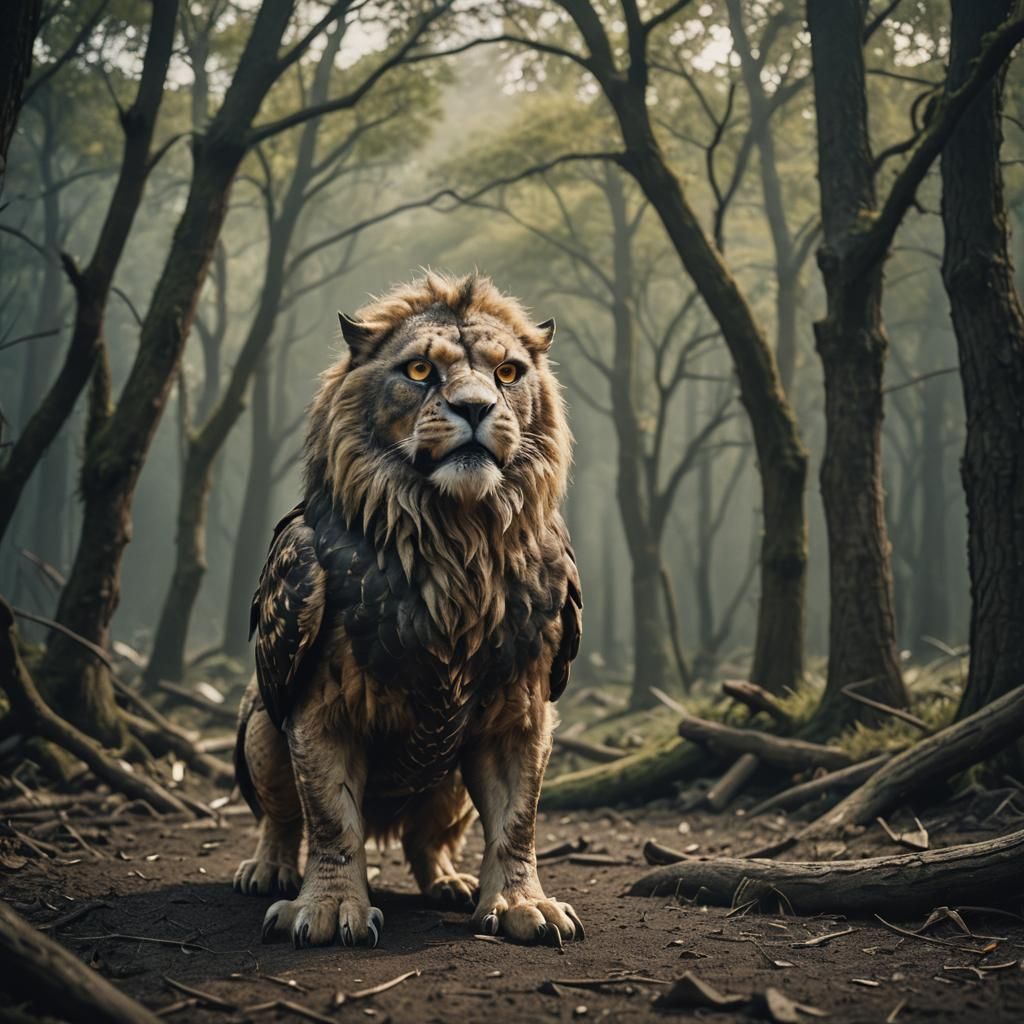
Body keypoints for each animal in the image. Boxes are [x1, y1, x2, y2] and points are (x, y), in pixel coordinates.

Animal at [232, 271, 583, 949]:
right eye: (420, 370)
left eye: (507, 372)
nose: (474, 408)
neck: (458, 537)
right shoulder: (317, 714)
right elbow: (331, 820)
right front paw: (329, 908)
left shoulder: (523, 711)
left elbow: (518, 821)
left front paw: (525, 905)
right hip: (261, 724)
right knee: (282, 818)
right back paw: (268, 870)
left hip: (449, 791)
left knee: (427, 840)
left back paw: (449, 882)